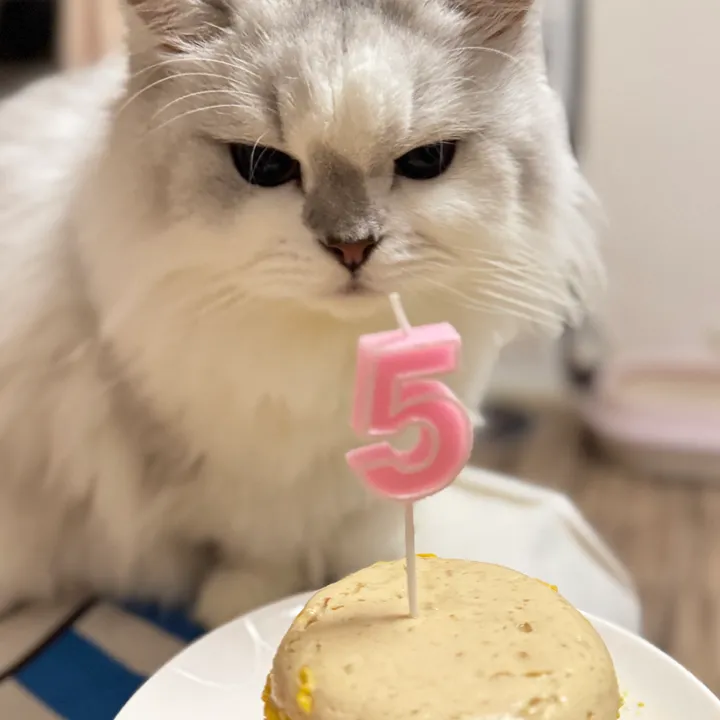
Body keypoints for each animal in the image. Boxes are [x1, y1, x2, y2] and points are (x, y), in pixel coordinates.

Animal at [0, 0, 599, 628]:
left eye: (425, 161)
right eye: (263, 167)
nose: (352, 247)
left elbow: (372, 527)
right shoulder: (199, 448)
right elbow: (258, 539)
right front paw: (247, 599)